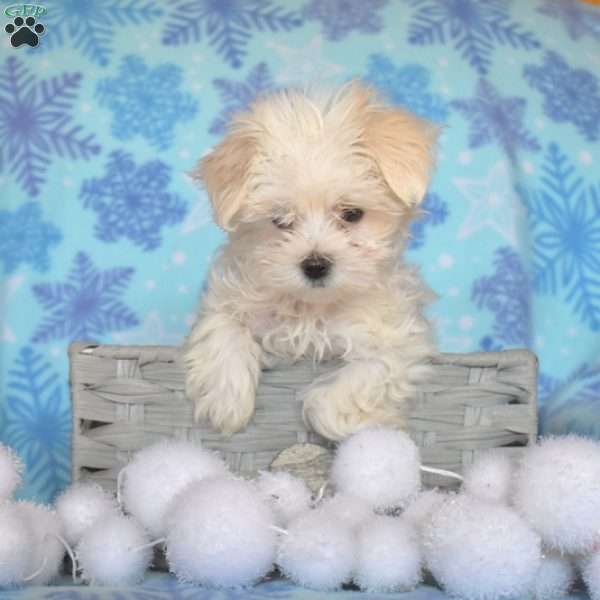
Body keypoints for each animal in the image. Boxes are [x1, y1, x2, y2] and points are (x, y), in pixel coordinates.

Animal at [180, 82, 438, 440]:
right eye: (280, 220)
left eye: (351, 214)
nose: (315, 265)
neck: (311, 309)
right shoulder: (225, 300)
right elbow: (223, 327)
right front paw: (226, 402)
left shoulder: (396, 343)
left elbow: (338, 396)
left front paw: (371, 428)